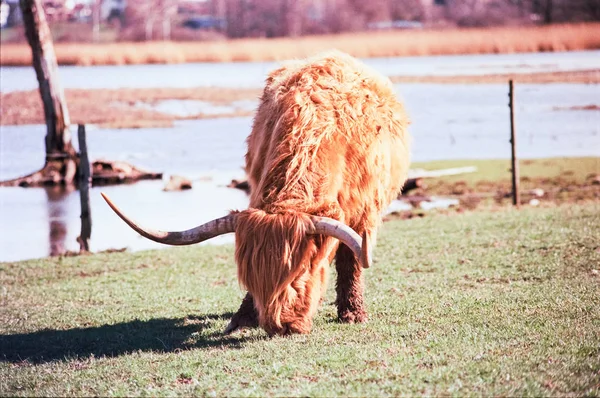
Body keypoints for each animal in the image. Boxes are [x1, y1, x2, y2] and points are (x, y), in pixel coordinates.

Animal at [103, 49, 412, 336]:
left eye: (303, 271)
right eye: (251, 276)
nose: (282, 325)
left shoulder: (365, 213)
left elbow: (351, 260)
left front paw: (353, 313)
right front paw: (243, 318)